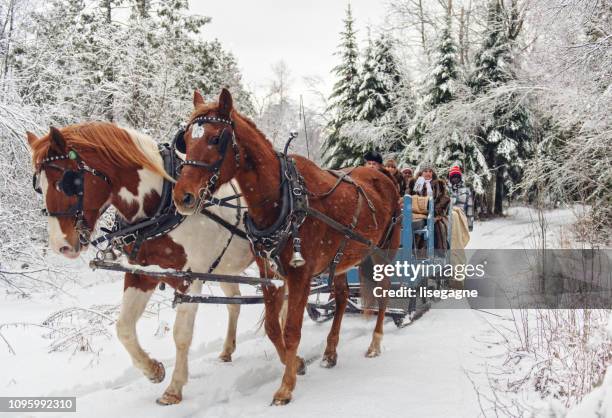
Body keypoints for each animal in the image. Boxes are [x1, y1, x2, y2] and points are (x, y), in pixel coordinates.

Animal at [26, 123, 253, 404]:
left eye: (68, 181)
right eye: (39, 187)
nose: (61, 245)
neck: (161, 207)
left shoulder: (189, 279)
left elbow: (181, 334)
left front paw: (174, 388)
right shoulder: (142, 273)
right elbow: (123, 327)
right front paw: (153, 369)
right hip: (224, 269)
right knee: (235, 302)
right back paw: (227, 350)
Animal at [172, 89, 402, 404]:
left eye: (215, 138)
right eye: (186, 139)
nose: (182, 196)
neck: (283, 200)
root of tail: (384, 174)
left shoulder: (301, 275)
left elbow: (292, 330)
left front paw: (286, 386)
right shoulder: (270, 274)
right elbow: (273, 327)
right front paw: (297, 364)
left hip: (384, 250)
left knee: (384, 294)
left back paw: (375, 343)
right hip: (342, 259)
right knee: (342, 298)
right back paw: (330, 351)